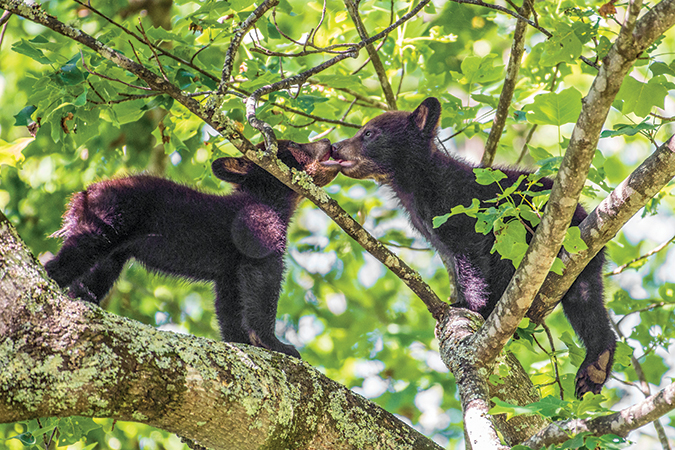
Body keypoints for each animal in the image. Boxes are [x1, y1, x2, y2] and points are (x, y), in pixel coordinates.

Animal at [45, 139, 339, 358]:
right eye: (294, 144)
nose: (329, 142)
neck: (273, 200)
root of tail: (82, 194)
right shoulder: (258, 231)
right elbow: (263, 286)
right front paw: (278, 344)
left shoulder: (229, 271)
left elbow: (229, 306)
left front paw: (241, 342)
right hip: (107, 220)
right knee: (74, 254)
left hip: (114, 249)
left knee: (98, 271)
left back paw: (85, 296)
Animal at [330, 98, 616, 398]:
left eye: (368, 133)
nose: (335, 147)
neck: (418, 183)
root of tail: (583, 215)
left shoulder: (461, 209)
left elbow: (470, 257)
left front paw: (468, 305)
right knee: (585, 300)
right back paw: (596, 364)